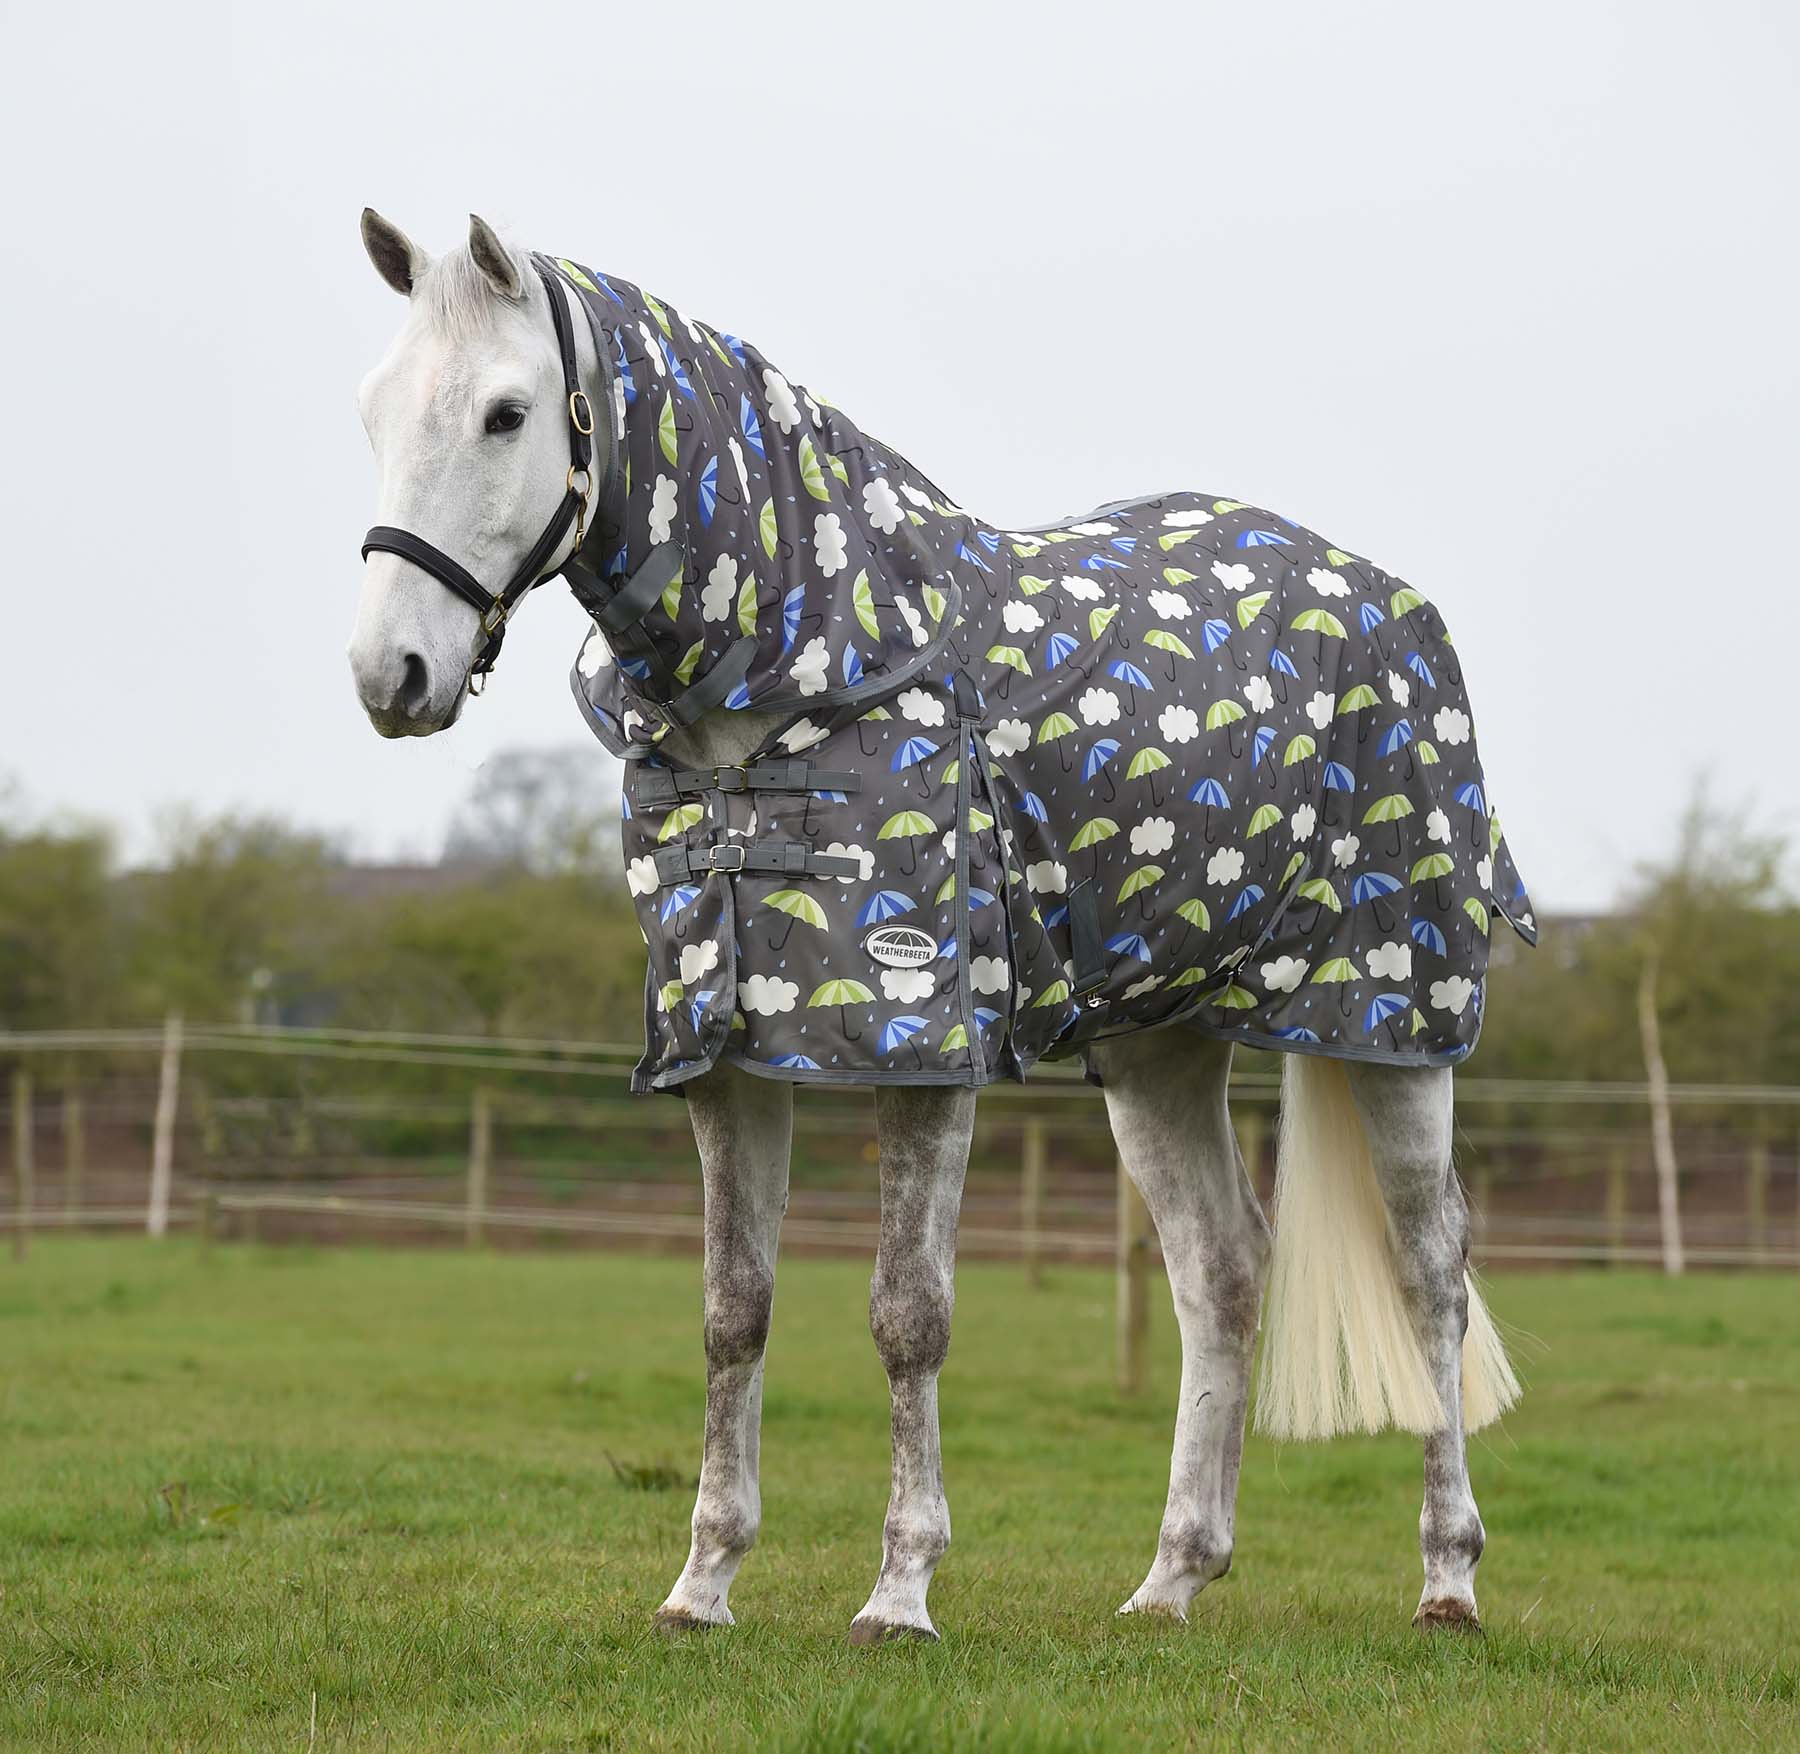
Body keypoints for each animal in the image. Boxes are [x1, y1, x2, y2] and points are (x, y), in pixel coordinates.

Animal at [348, 211, 1531, 1641]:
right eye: (373, 411)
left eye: (507, 413)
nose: (389, 675)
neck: (801, 681)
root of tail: (1389, 601)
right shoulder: (725, 1052)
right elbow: (733, 1311)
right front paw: (703, 1581)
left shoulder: (920, 1038)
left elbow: (907, 1314)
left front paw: (900, 1589)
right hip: (1160, 1045)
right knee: (1223, 1270)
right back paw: (1170, 1578)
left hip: (1392, 1021)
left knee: (1433, 1270)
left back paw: (1451, 1578)